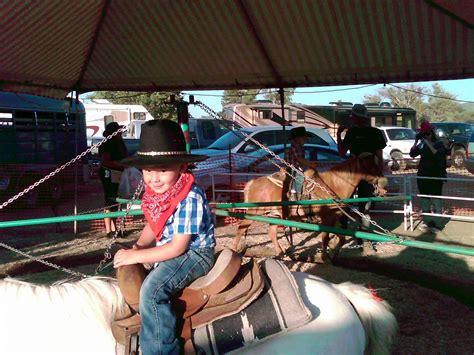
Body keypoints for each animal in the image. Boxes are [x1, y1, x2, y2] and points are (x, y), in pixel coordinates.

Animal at [231, 154, 386, 262]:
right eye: (371, 166)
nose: (384, 184)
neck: (332, 185)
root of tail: (253, 182)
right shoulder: (326, 219)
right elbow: (325, 238)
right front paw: (325, 257)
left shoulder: (334, 218)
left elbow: (341, 239)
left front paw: (335, 254)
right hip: (253, 213)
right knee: (241, 228)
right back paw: (233, 249)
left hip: (275, 215)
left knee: (272, 232)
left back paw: (280, 253)